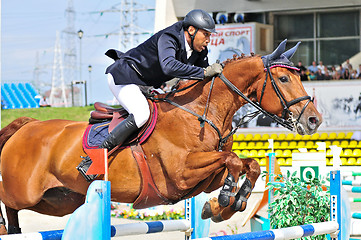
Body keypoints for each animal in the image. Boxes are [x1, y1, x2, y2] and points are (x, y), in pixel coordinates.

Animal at [0, 40, 320, 233]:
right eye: (283, 78)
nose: (314, 120)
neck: (202, 113)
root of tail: (27, 125)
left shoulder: (205, 177)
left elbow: (247, 164)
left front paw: (222, 206)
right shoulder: (181, 174)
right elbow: (232, 160)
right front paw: (227, 197)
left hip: (59, 200)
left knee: (19, 211)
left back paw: (12, 230)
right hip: (24, 190)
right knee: (6, 198)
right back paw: (5, 228)